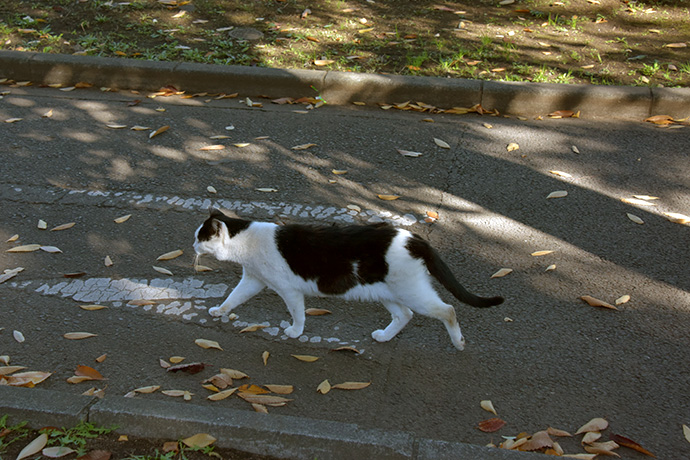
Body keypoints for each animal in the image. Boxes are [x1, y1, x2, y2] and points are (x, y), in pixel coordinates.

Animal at [194, 207, 500, 350]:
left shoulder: (288, 290)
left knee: (447, 310)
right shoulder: (253, 280)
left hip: (411, 291)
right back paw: (384, 337)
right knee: (405, 315)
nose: (192, 244)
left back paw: (458, 342)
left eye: (200, 237)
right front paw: (219, 310)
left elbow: (298, 313)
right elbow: (233, 297)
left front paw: (295, 332)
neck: (245, 240)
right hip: (388, 292)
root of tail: (414, 238)